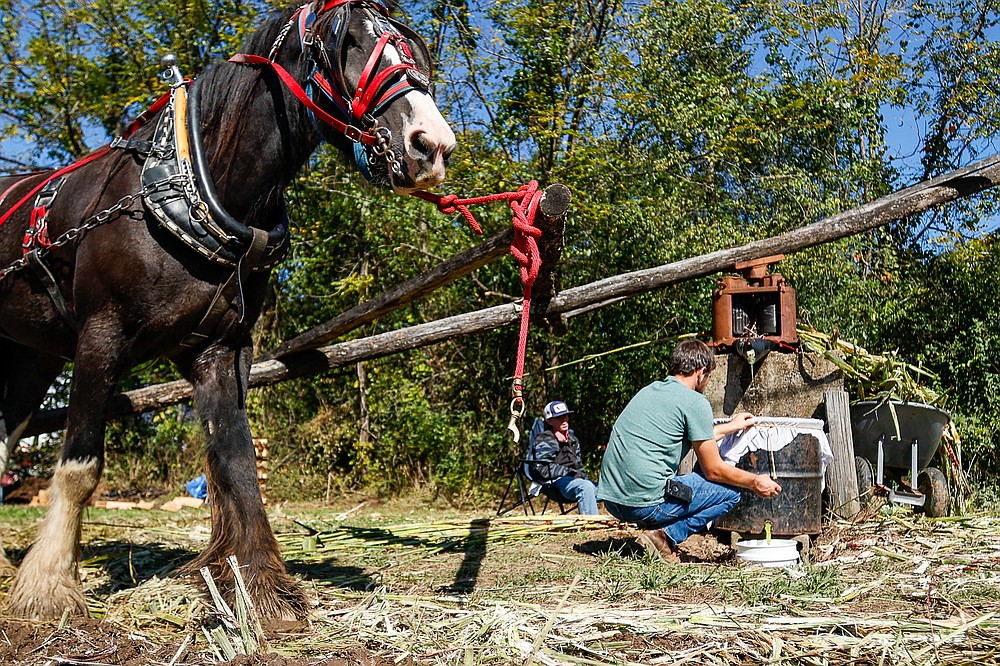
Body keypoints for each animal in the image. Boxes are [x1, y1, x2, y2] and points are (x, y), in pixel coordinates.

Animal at [0, 0, 454, 616]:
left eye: (412, 49)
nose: (432, 145)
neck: (190, 187)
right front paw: (48, 588)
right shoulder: (99, 336)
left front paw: (263, 592)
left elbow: (238, 464)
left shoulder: (219, 350)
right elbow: (79, 467)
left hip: (32, 356)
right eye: (346, 44)